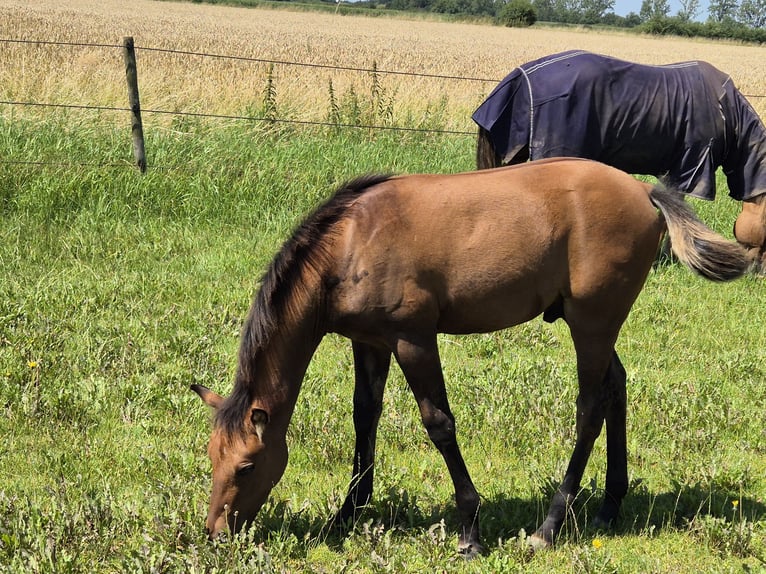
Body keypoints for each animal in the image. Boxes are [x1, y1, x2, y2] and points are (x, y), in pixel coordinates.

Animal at [190, 159, 752, 560]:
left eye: (246, 466)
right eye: (212, 458)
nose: (215, 532)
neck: (351, 243)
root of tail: (644, 192)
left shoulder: (414, 340)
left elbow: (439, 424)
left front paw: (470, 531)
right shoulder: (369, 342)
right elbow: (364, 418)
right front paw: (348, 512)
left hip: (591, 323)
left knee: (590, 408)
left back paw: (549, 527)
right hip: (595, 325)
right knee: (617, 386)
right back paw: (610, 505)